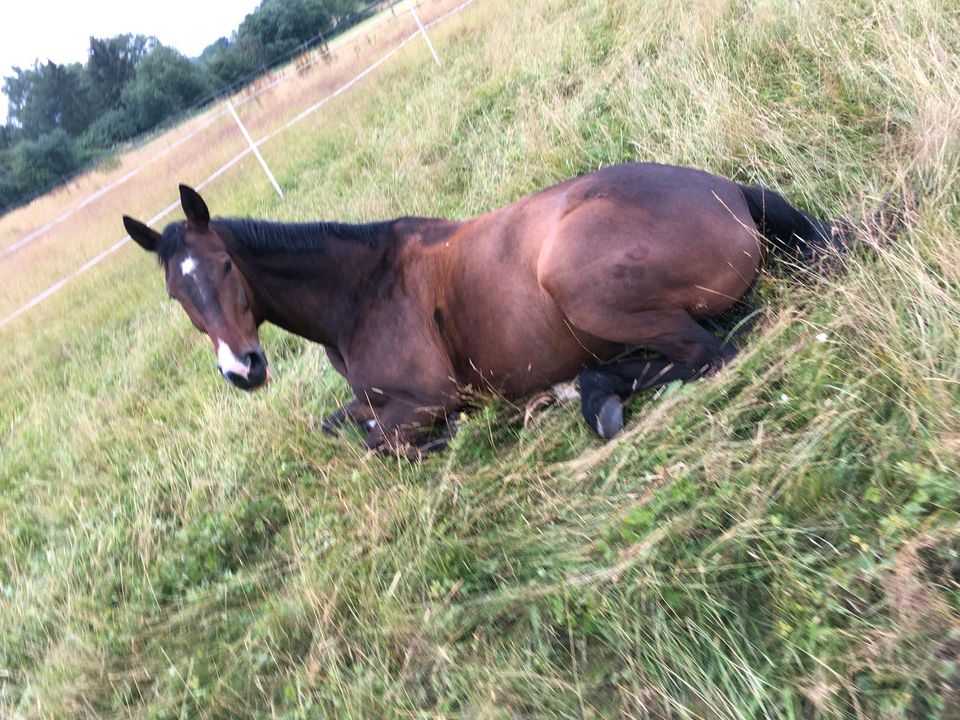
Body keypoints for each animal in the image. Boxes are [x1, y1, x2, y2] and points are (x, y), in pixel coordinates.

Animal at [124, 164, 836, 456]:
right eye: (176, 295)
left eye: (224, 266)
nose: (242, 370)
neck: (361, 291)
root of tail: (729, 194)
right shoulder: (370, 398)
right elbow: (335, 426)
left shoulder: (428, 397)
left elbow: (379, 446)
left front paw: (451, 436)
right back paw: (590, 390)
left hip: (582, 288)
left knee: (710, 352)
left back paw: (583, 396)